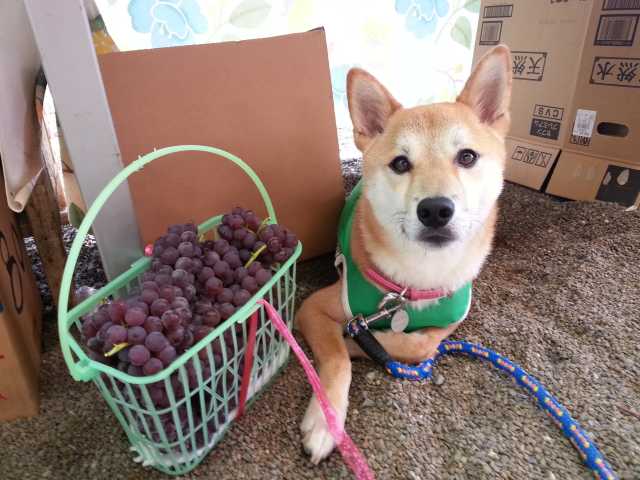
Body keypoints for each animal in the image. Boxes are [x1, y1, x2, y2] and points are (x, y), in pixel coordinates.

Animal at [295, 44, 513, 463]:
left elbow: (419, 344)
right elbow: (338, 359)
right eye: (400, 163)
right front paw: (326, 422)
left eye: (467, 157)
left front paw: (365, 342)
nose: (436, 209)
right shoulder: (313, 308)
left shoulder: (451, 317)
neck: (414, 282)